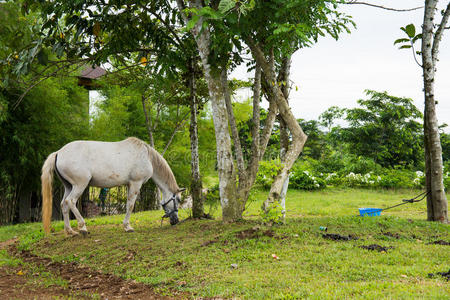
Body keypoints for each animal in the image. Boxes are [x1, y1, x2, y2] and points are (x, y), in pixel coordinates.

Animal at [40, 137, 185, 236]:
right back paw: (82, 227)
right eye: (178, 199)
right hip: (80, 185)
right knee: (71, 201)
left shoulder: (129, 184)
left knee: (64, 204)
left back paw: (70, 231)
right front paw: (128, 227)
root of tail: (59, 152)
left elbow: (128, 204)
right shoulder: (135, 183)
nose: (176, 220)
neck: (146, 156)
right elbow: (130, 205)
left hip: (69, 186)